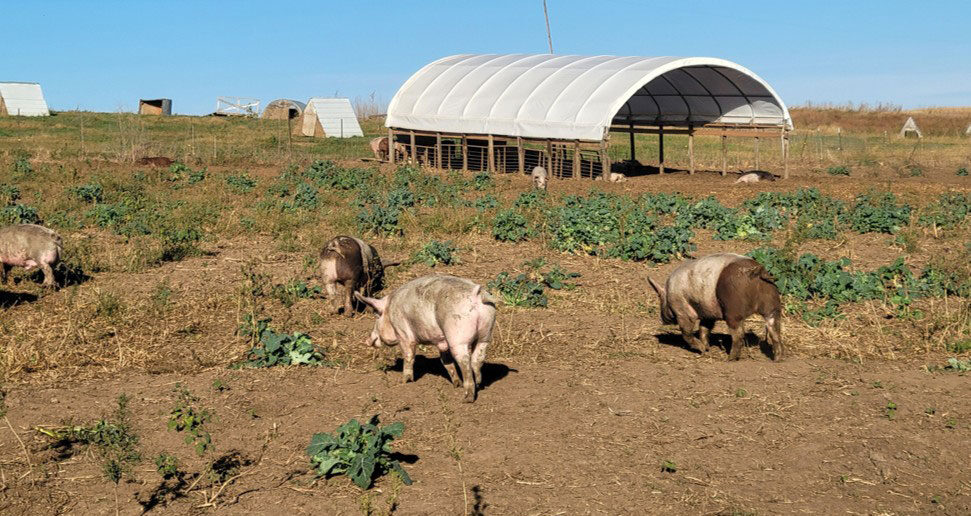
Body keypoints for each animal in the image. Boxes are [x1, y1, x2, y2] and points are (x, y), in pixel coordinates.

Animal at [355, 275, 497, 402]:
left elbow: (408, 356)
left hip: (458, 335)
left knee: (465, 362)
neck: (389, 310)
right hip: (486, 332)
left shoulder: (403, 333)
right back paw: (478, 383)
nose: (367, 340)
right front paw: (456, 384)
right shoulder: (442, 341)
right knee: (477, 359)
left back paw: (466, 399)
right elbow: (445, 361)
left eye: (376, 316)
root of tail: (476, 295)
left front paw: (405, 381)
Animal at [646, 253, 783, 361]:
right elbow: (704, 328)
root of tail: (756, 272)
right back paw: (778, 359)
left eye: (660, 298)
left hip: (733, 310)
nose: (662, 320)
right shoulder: (708, 314)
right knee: (775, 330)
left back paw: (730, 359)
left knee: (738, 335)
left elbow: (687, 332)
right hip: (772, 303)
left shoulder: (683, 311)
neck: (668, 293)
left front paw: (702, 350)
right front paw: (707, 349)